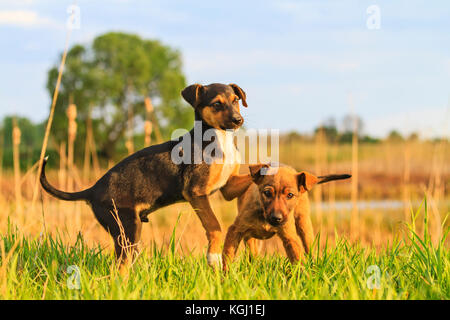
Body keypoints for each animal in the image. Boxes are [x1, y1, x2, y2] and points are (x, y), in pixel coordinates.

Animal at [40, 82, 255, 268]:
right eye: (217, 103)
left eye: (236, 100)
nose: (238, 120)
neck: (219, 139)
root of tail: (92, 190)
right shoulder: (195, 191)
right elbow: (214, 225)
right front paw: (213, 256)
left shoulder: (228, 186)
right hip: (127, 228)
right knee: (120, 268)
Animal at [222, 162, 352, 270]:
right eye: (267, 193)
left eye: (290, 195)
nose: (276, 218)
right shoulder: (235, 230)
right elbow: (228, 256)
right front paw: (227, 278)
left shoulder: (290, 237)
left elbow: (298, 260)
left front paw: (303, 279)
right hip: (249, 237)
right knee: (251, 253)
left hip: (304, 224)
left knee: (309, 248)